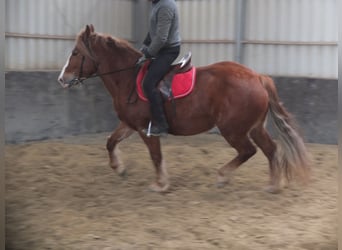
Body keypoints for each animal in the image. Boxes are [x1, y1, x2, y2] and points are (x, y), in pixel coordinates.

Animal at [58, 24, 310, 193]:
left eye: (76, 53)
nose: (62, 78)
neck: (128, 78)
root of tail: (257, 77)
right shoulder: (130, 124)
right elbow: (110, 141)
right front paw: (119, 169)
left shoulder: (147, 129)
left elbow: (156, 156)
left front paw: (160, 184)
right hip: (255, 127)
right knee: (271, 149)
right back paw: (273, 185)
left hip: (233, 129)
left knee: (249, 151)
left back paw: (223, 176)